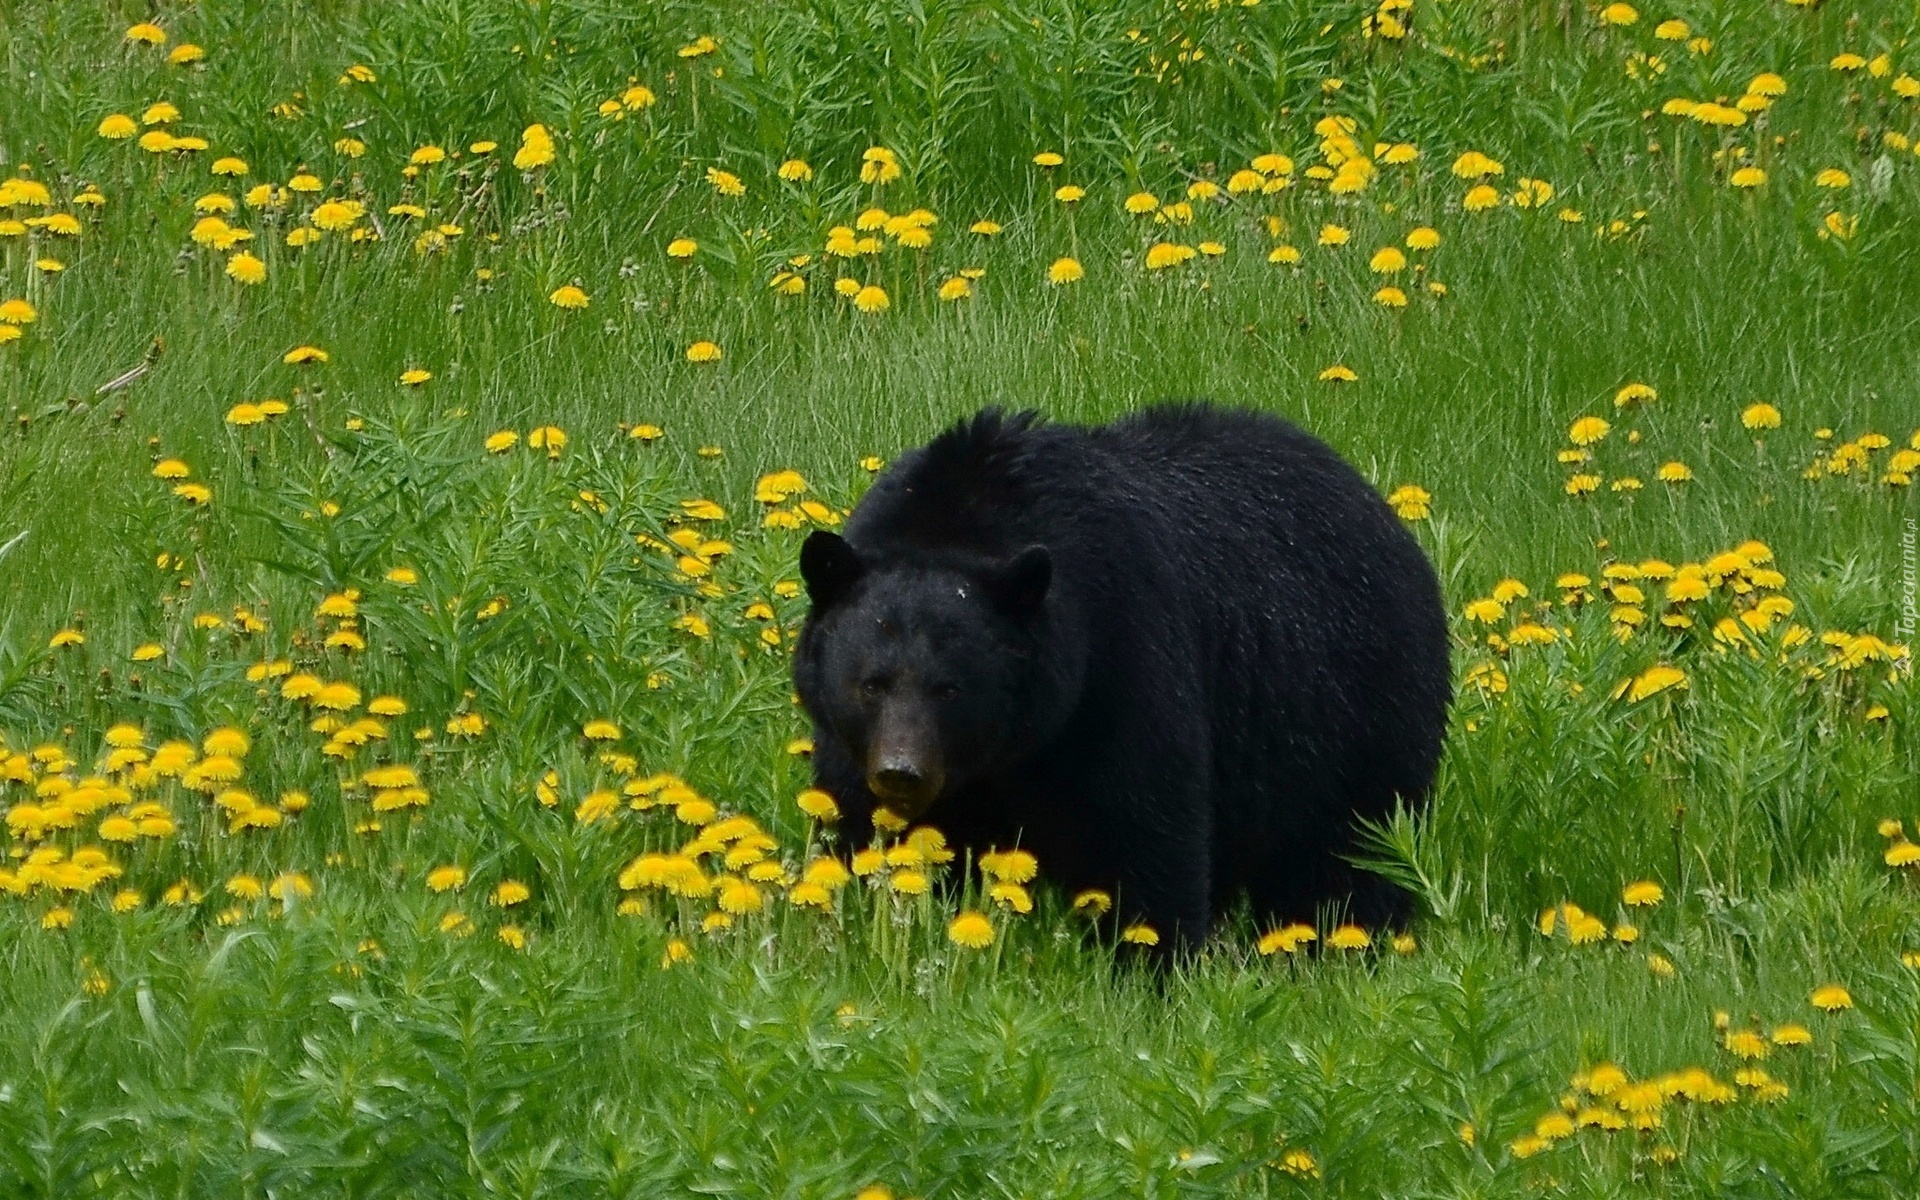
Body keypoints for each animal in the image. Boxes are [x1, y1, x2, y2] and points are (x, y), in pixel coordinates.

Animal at [787, 405, 1443, 944]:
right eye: (870, 683)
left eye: (950, 688)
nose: (902, 773)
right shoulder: (852, 745)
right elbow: (857, 825)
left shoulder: (1121, 660)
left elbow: (1144, 834)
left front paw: (1148, 965)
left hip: (1353, 715)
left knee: (1352, 857)